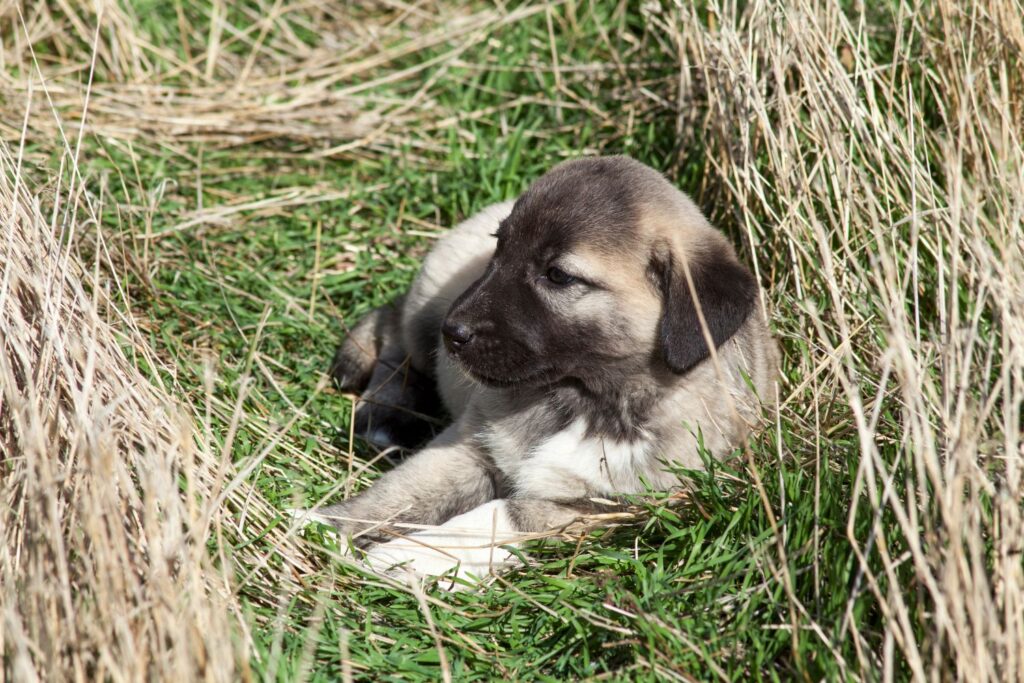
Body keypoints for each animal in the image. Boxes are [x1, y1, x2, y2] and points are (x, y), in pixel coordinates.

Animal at [319, 154, 774, 589]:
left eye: (557, 275)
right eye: (500, 248)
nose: (454, 332)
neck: (584, 400)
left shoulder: (603, 510)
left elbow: (497, 514)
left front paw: (411, 555)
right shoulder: (470, 449)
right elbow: (396, 495)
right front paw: (322, 527)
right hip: (428, 308)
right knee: (393, 324)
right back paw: (383, 412)